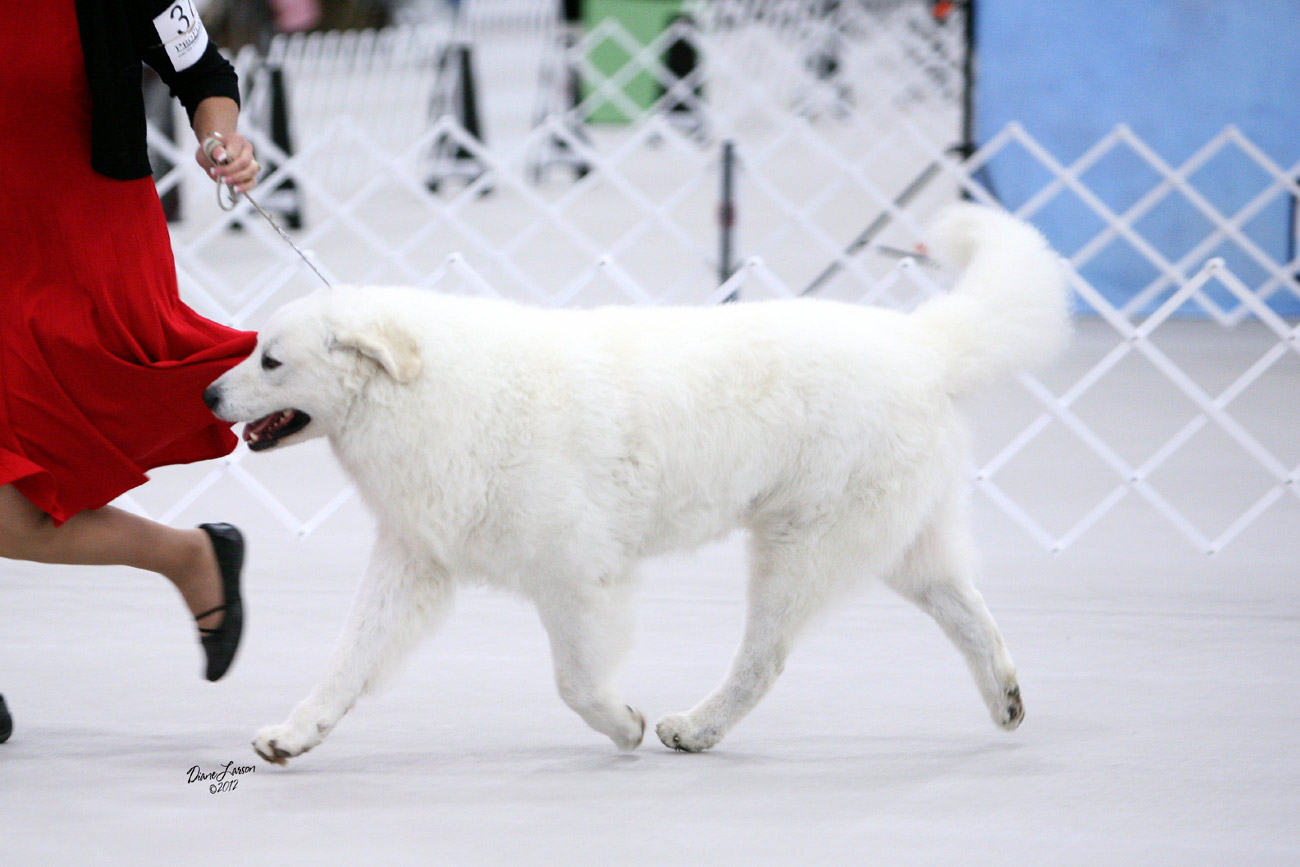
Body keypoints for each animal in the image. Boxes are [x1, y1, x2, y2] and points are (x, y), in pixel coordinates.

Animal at [205, 205, 1066, 764]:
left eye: (270, 360)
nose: (209, 396)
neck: (433, 390)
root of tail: (922, 343)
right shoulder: (413, 564)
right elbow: (347, 662)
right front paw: (295, 734)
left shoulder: (578, 574)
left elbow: (575, 681)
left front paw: (624, 725)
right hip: (903, 547)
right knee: (970, 618)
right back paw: (1007, 699)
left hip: (799, 550)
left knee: (763, 660)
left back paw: (696, 728)